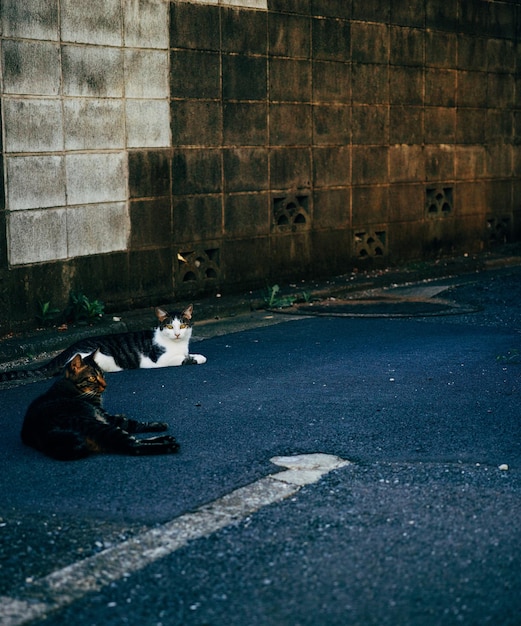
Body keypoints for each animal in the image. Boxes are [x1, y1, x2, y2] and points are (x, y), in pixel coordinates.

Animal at [0, 302, 206, 380]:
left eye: (183, 325)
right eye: (170, 327)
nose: (178, 334)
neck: (179, 344)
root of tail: (70, 348)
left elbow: (187, 353)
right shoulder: (160, 360)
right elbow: (184, 358)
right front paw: (199, 357)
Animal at [20, 352, 179, 458]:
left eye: (102, 374)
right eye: (92, 378)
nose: (105, 385)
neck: (72, 386)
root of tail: (46, 436)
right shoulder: (106, 416)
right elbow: (134, 423)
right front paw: (157, 424)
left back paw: (166, 439)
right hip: (99, 425)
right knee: (132, 446)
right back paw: (169, 446)